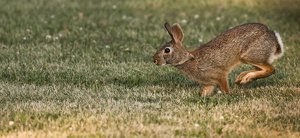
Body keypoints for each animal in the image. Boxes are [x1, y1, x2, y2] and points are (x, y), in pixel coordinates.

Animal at [152, 22, 284, 96]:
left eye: (167, 50)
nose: (154, 60)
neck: (189, 59)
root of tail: (273, 37)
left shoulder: (220, 75)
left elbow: (225, 88)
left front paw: (227, 96)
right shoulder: (208, 84)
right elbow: (206, 92)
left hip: (250, 56)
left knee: (270, 69)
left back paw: (246, 79)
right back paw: (242, 79)